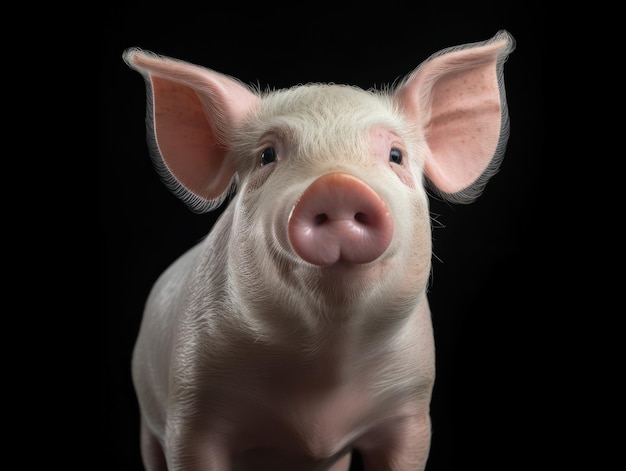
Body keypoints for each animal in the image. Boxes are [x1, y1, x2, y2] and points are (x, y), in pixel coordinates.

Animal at [122, 30, 512, 471]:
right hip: (146, 415)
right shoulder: (190, 412)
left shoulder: (411, 409)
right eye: (267, 156)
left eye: (395, 155)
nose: (338, 184)